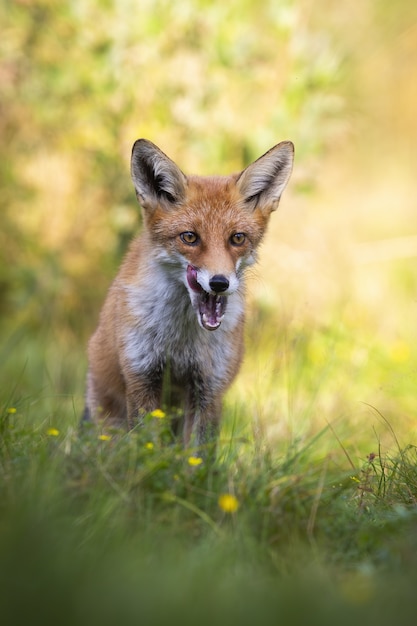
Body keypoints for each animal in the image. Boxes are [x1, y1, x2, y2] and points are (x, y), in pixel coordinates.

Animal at [83, 139, 292, 446]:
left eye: (237, 238)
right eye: (190, 237)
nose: (220, 283)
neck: (181, 342)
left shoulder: (210, 387)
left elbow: (198, 453)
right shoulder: (141, 376)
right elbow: (146, 446)